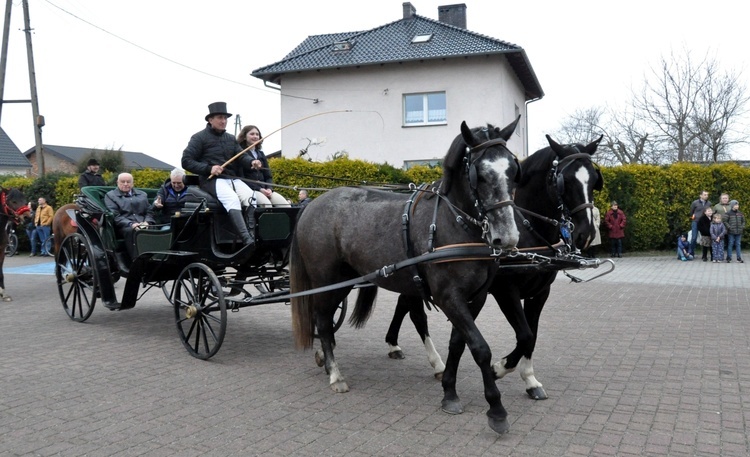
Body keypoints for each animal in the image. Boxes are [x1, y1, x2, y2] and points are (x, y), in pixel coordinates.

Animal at [292, 116, 524, 432]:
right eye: (481, 175)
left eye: (513, 170)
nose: (508, 237)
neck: (453, 224)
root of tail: (312, 205)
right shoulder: (449, 297)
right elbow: (479, 347)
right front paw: (496, 408)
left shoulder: (475, 298)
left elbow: (458, 344)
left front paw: (449, 391)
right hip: (325, 278)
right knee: (324, 320)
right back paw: (335, 374)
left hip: (343, 280)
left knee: (322, 317)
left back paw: (323, 358)